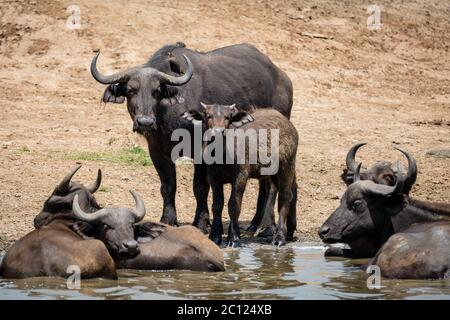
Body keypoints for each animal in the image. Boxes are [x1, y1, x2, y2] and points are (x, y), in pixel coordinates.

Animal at [90, 42, 294, 232]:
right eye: (131, 90)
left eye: (157, 91)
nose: (145, 122)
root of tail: (283, 78)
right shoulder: (157, 151)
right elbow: (168, 186)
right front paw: (168, 219)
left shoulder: (201, 152)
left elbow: (200, 187)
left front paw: (202, 222)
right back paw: (255, 222)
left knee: (270, 182)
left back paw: (264, 224)